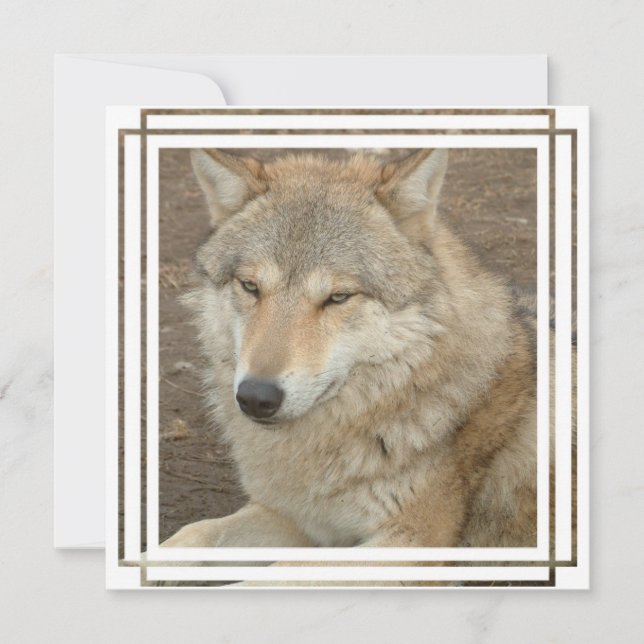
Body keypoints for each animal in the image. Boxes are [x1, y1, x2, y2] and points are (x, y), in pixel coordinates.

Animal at [162, 147, 548, 552]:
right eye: (250, 286)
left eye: (338, 297)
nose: (256, 397)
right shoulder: (296, 519)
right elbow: (192, 533)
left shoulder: (412, 538)